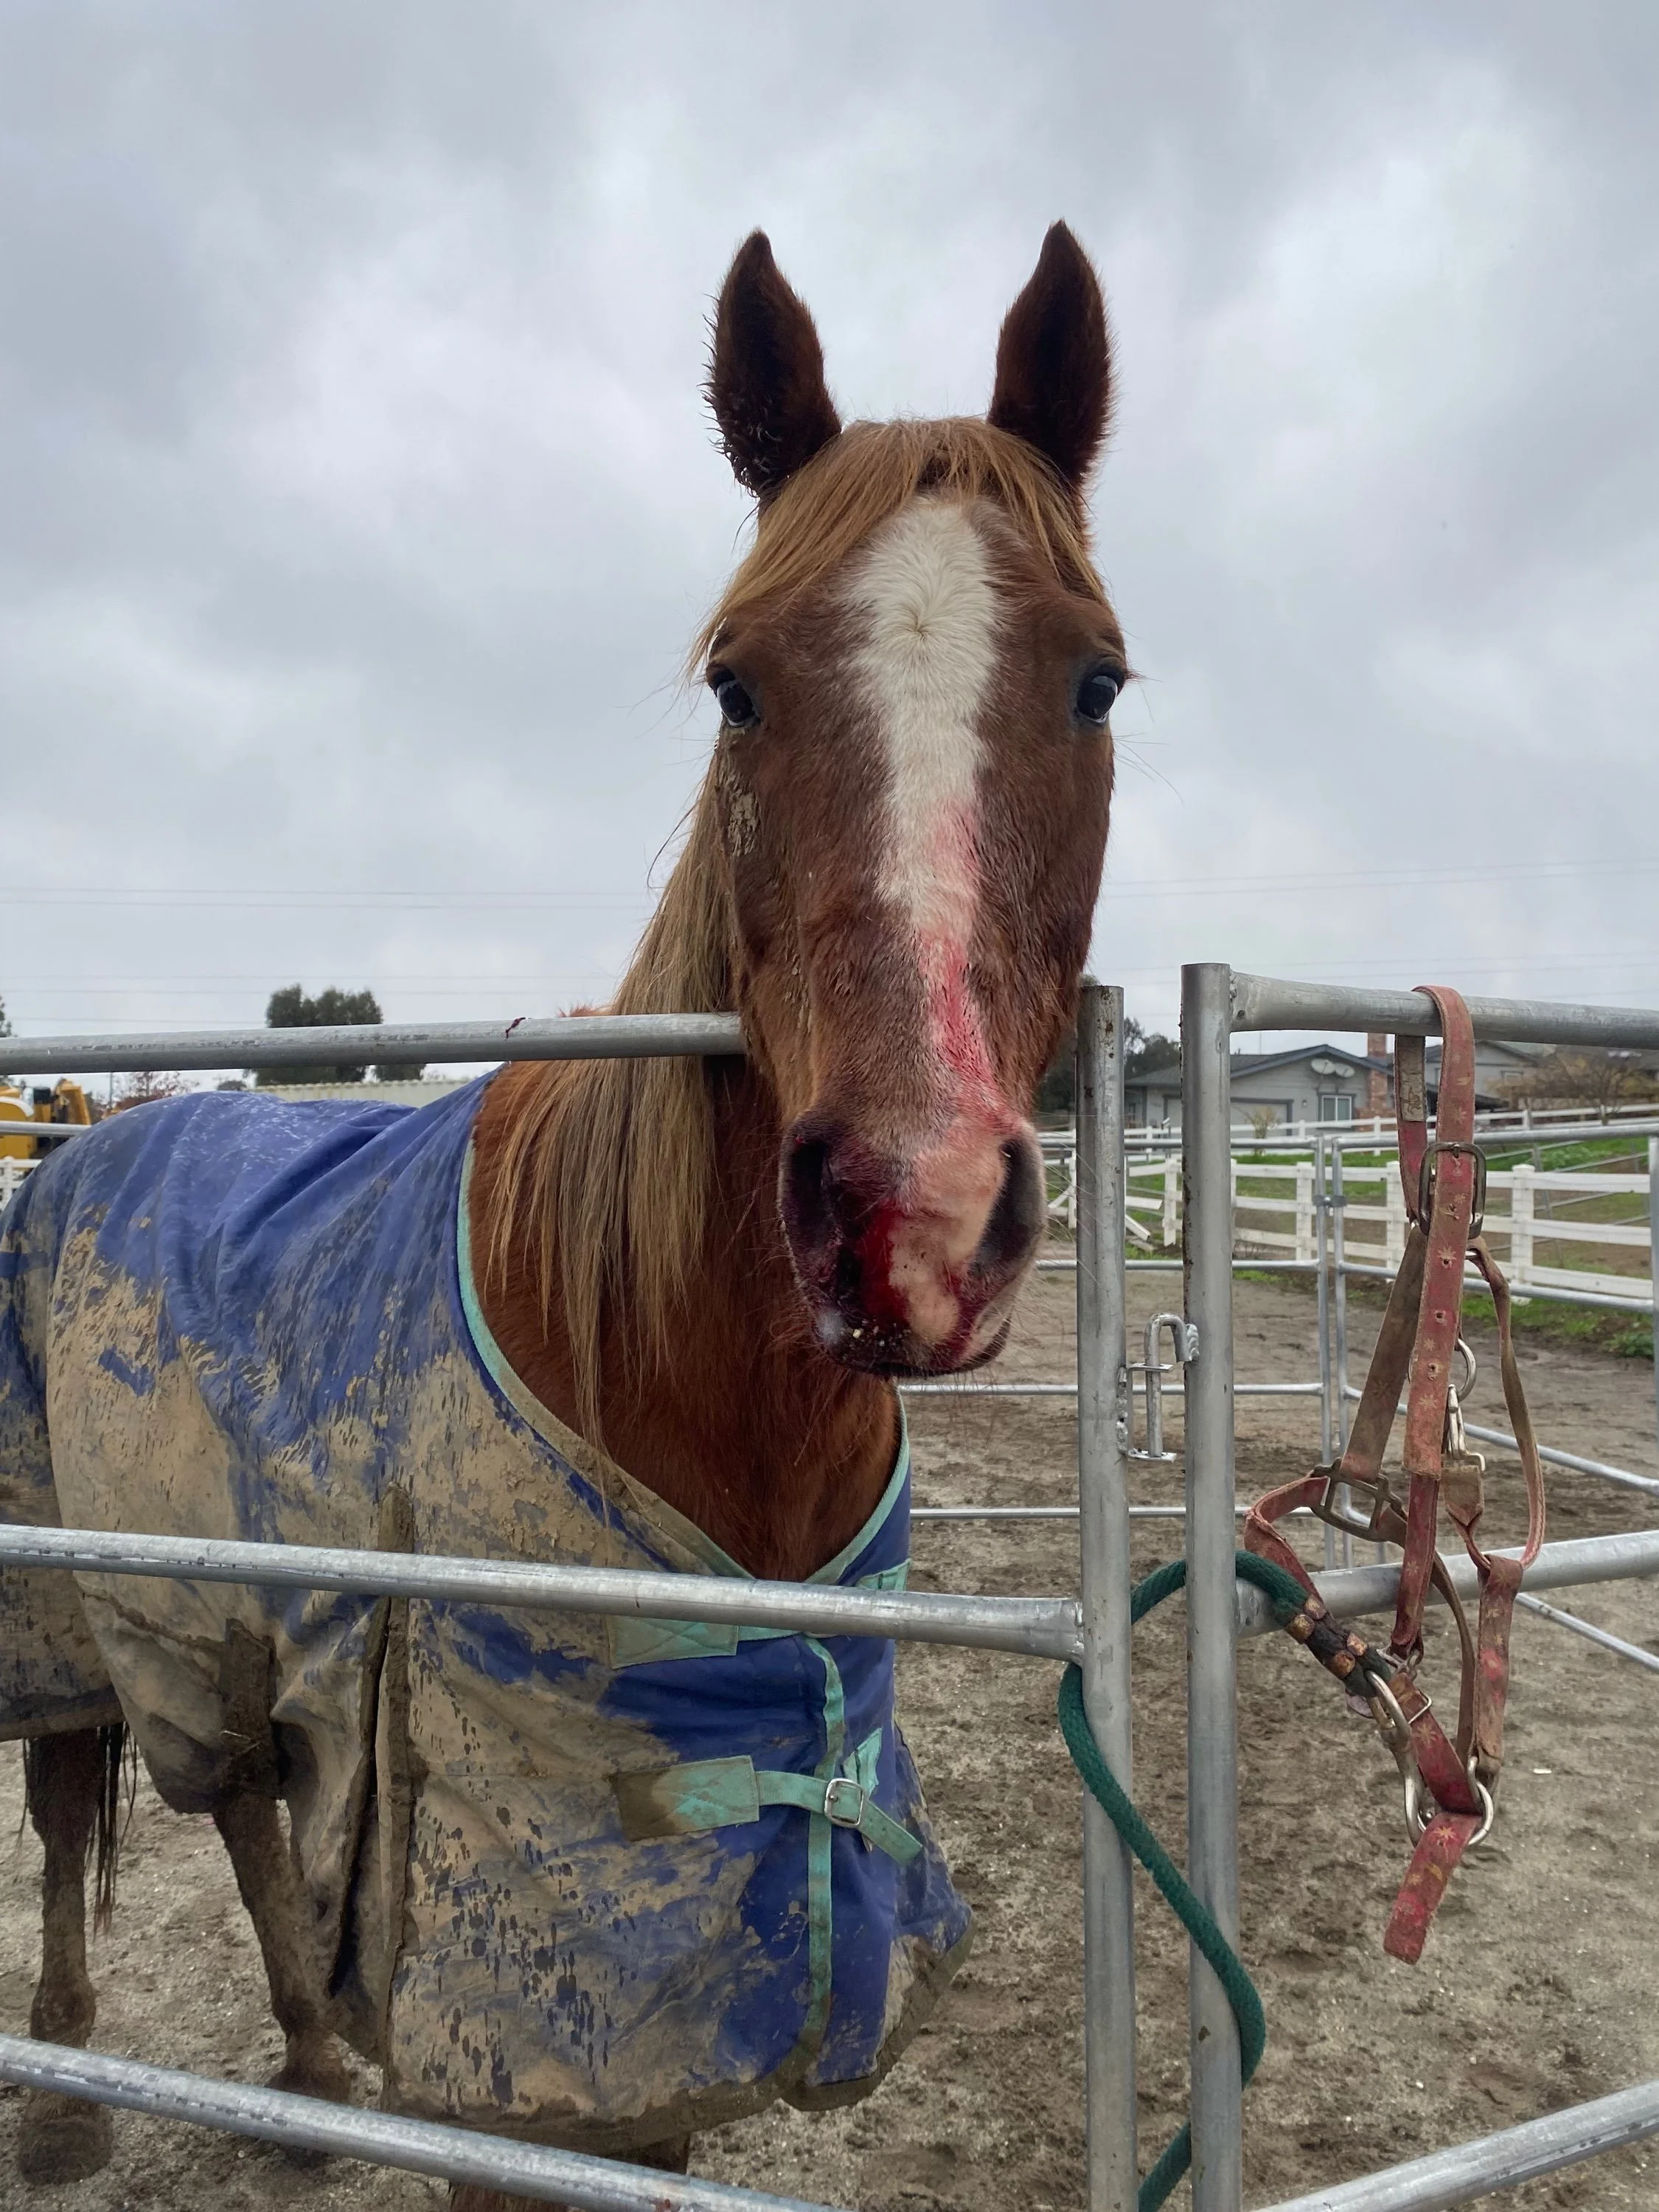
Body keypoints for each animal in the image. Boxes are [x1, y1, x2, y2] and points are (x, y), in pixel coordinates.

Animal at [0, 222, 1125, 2212]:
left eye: (1097, 684)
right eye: (736, 684)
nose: (905, 1214)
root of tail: (89, 1133)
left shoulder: (669, 1983)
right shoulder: (521, 1991)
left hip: (233, 1622)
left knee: (244, 1815)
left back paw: (308, 2076)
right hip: (80, 1596)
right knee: (75, 1792)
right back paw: (65, 2089)